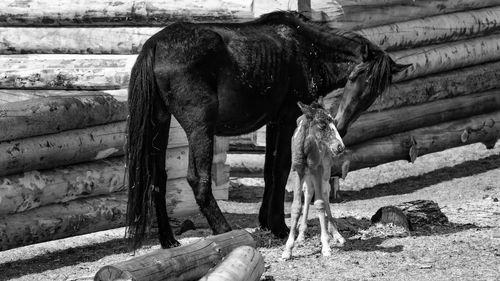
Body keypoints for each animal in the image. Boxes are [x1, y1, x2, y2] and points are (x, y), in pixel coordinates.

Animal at [284, 100, 346, 258]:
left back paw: (337, 235)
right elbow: (296, 206)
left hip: (325, 168)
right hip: (307, 175)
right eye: (322, 124)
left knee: (325, 193)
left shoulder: (317, 169)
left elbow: (319, 203)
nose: (340, 147)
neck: (305, 148)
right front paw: (288, 248)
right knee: (308, 191)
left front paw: (326, 245)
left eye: (334, 122)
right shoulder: (297, 171)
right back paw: (301, 235)